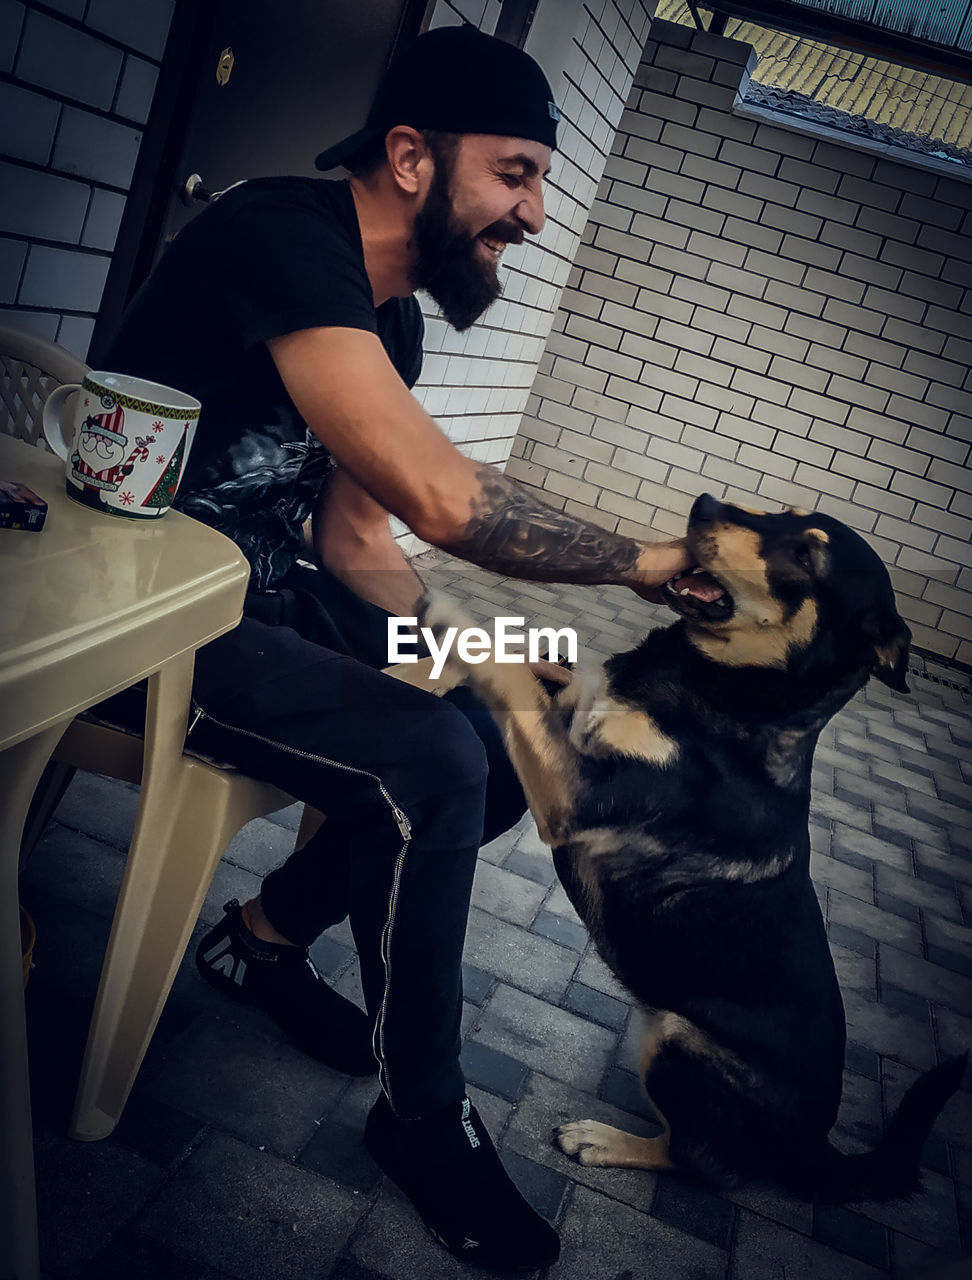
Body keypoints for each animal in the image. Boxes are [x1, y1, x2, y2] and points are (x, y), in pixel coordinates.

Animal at [417, 488, 968, 1198]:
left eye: (806, 555)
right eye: (786, 514)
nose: (705, 503)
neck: (731, 696)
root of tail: (813, 1149)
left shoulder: (579, 794)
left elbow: (510, 675)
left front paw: (454, 622)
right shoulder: (579, 711)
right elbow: (533, 670)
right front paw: (425, 668)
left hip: (680, 1042)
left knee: (701, 1163)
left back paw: (604, 1140)